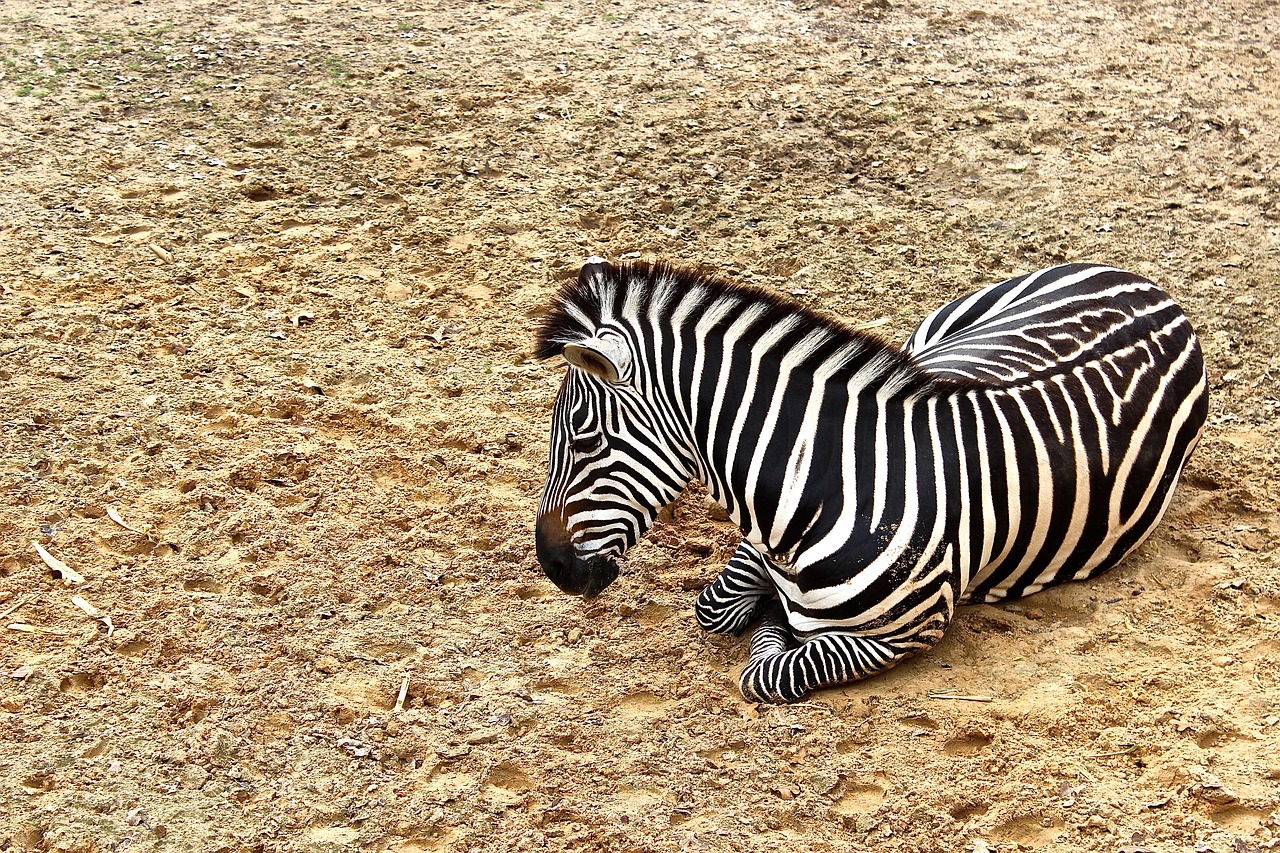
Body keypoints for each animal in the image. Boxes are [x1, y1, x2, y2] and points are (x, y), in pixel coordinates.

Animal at [532, 256, 1208, 701]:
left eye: (587, 441)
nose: (554, 570)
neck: (828, 484)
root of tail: (1156, 294)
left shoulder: (910, 630)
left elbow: (769, 669)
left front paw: (775, 625)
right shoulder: (756, 546)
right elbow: (716, 607)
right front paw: (766, 609)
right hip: (939, 333)